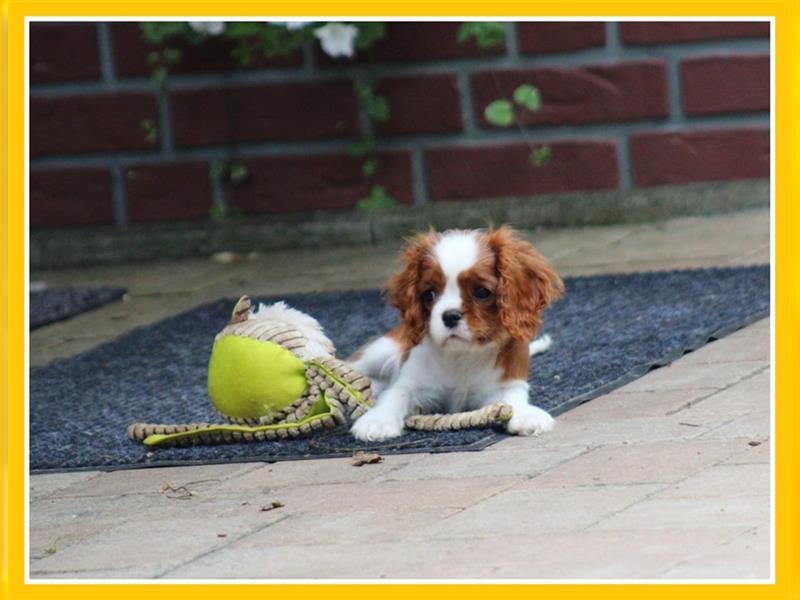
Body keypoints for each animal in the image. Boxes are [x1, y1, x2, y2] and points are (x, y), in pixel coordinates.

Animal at [348, 225, 564, 440]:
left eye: (482, 292)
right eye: (429, 294)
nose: (450, 316)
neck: (462, 354)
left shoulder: (507, 385)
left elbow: (512, 400)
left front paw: (526, 415)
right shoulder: (411, 381)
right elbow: (396, 394)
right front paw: (378, 420)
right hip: (379, 351)